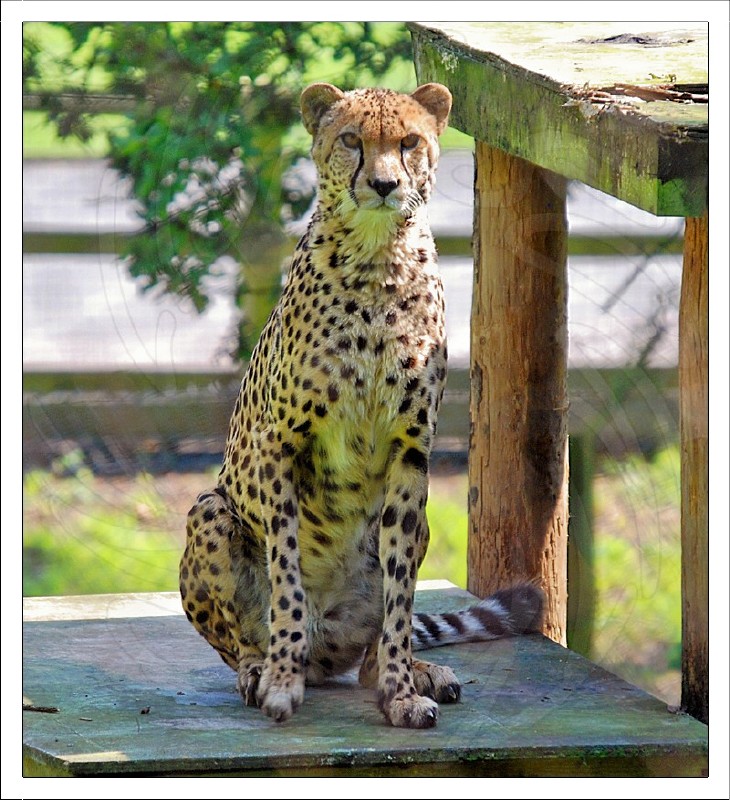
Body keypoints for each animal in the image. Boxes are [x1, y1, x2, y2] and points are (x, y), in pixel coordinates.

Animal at [179, 82, 545, 729]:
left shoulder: (411, 453)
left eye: (409, 142)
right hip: (210, 511)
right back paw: (259, 666)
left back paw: (415, 670)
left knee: (376, 637)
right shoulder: (280, 443)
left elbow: (399, 600)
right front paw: (281, 680)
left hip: (420, 517)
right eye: (351, 139)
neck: (377, 258)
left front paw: (399, 691)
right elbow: (287, 575)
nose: (382, 184)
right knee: (240, 637)